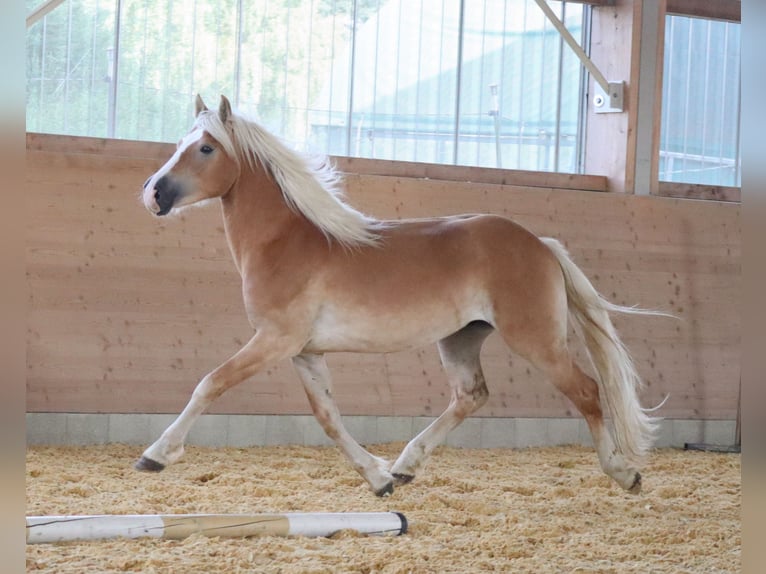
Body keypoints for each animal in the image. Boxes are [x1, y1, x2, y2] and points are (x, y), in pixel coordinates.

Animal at [136, 94, 662, 497]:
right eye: (179, 145)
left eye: (205, 147)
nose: (153, 194)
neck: (286, 240)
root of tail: (540, 244)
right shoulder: (304, 352)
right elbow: (328, 417)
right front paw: (378, 478)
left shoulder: (275, 341)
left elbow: (211, 383)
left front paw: (156, 455)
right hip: (461, 338)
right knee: (470, 396)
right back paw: (406, 465)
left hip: (536, 340)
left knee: (587, 390)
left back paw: (624, 473)